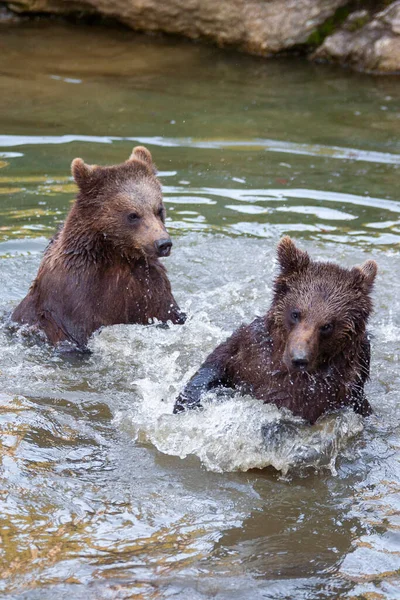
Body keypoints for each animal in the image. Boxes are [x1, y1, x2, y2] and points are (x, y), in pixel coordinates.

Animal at [11, 145, 185, 350]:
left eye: (159, 209)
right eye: (133, 215)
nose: (163, 243)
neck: (116, 256)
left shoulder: (147, 285)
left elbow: (167, 313)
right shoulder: (74, 296)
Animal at [173, 234, 376, 422]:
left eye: (327, 325)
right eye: (296, 313)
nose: (299, 359)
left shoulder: (336, 388)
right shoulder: (247, 350)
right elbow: (214, 367)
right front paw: (186, 403)